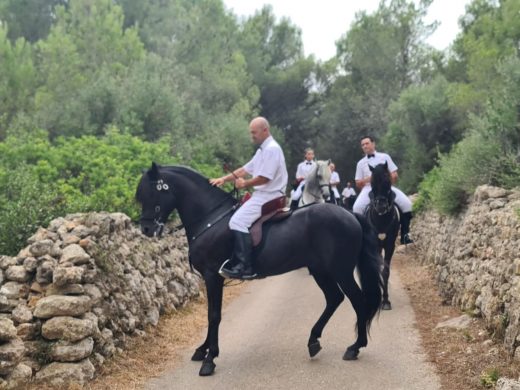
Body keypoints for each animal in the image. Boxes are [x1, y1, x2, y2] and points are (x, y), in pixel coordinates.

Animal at [136, 163, 384, 376]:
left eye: (151, 193)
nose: (146, 229)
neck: (210, 219)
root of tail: (349, 215)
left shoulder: (212, 276)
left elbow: (214, 315)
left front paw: (210, 359)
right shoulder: (211, 278)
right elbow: (211, 314)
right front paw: (202, 350)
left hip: (340, 271)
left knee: (357, 300)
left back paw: (355, 346)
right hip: (320, 270)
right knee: (334, 299)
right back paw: (314, 340)